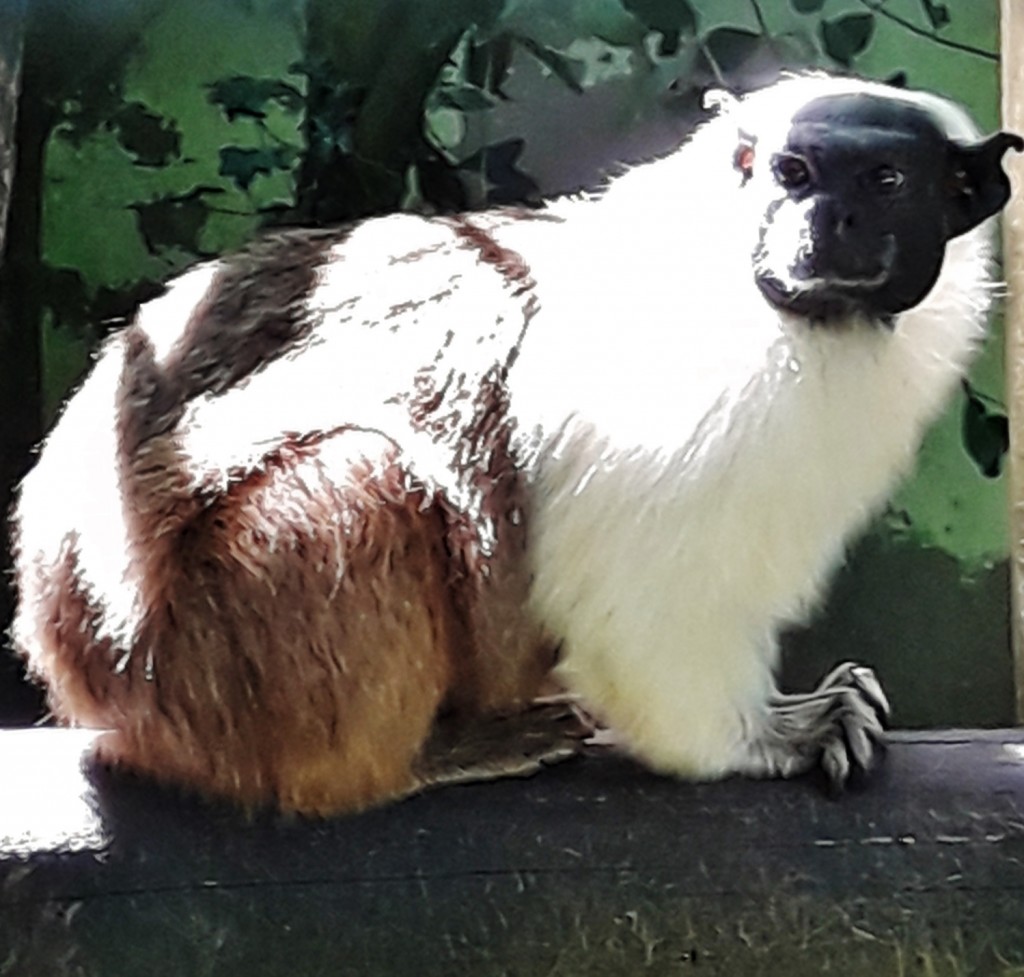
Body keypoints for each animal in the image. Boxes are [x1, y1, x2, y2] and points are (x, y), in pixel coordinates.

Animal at [9, 72, 1024, 811]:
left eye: (883, 183)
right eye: (792, 175)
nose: (822, 226)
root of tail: (73, 648)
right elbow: (636, 605)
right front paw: (765, 736)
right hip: (193, 664)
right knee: (362, 471)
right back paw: (402, 765)